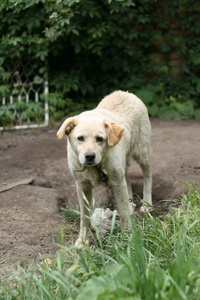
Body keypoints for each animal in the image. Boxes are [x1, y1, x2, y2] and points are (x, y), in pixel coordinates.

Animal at [57, 91, 152, 248]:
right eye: (80, 138)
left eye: (100, 139)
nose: (89, 156)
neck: (95, 166)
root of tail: (124, 92)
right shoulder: (82, 186)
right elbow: (85, 217)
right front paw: (83, 241)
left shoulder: (116, 182)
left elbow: (123, 211)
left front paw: (126, 236)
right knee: (127, 180)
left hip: (144, 154)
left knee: (147, 178)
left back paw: (147, 204)